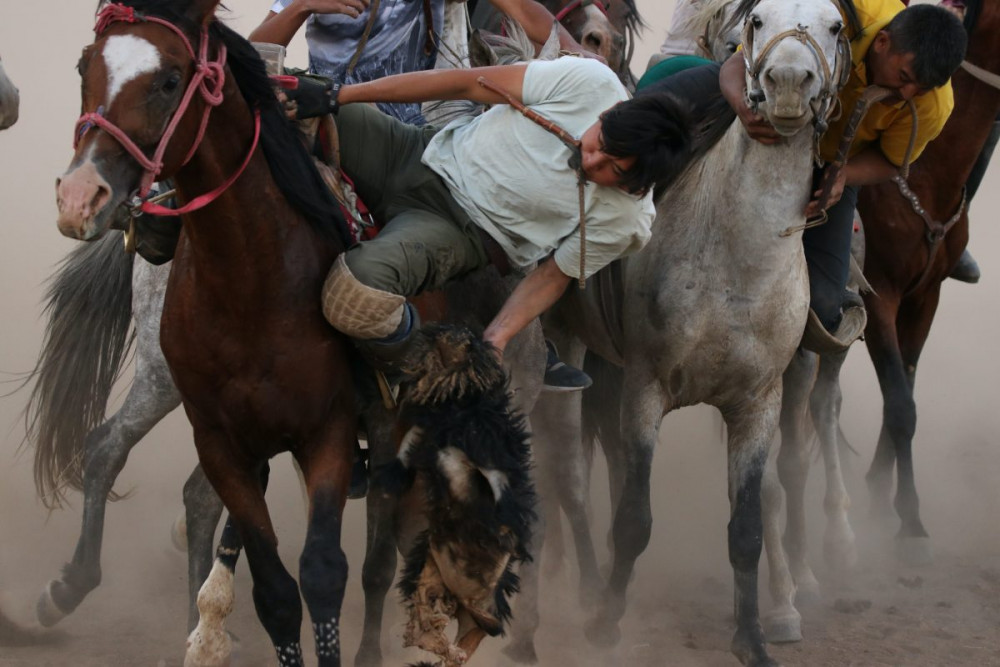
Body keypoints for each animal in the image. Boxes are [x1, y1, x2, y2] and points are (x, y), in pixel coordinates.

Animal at [55, 2, 360, 664]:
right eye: (84, 66)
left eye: (171, 80)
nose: (79, 197)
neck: (252, 277)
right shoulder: (221, 438)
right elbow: (276, 591)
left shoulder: (329, 429)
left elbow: (323, 573)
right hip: (166, 381)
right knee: (112, 447)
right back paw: (73, 588)